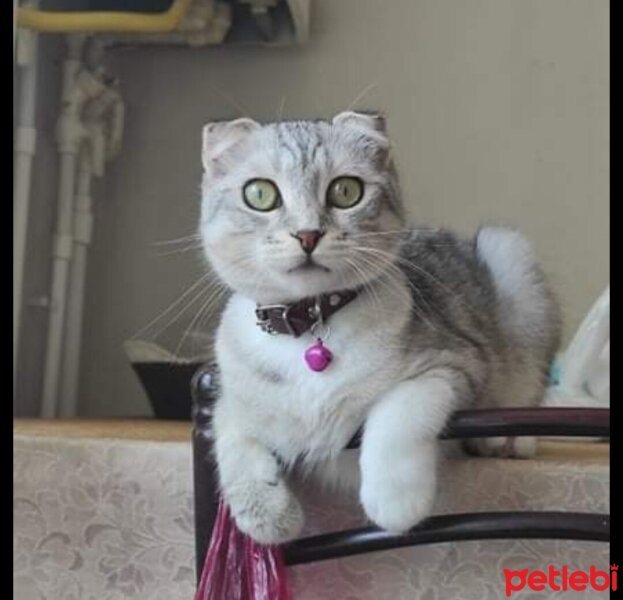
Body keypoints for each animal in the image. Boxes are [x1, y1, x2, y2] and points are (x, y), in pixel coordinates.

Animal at [197, 110, 564, 548]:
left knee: (525, 387)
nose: (308, 234)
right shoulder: (230, 393)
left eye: (345, 191)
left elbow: (398, 411)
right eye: (260, 194)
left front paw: (395, 501)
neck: (309, 329)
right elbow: (230, 433)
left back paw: (505, 439)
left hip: (509, 254)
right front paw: (267, 514)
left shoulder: (455, 361)